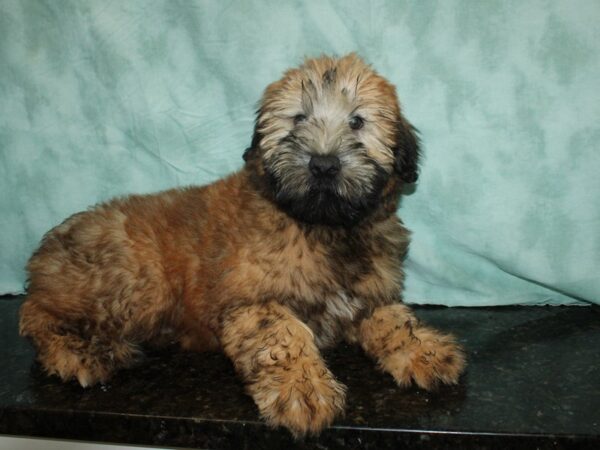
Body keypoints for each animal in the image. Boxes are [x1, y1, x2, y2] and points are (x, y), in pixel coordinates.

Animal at [19, 52, 464, 436]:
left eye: (357, 122)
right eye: (298, 118)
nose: (323, 164)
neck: (325, 226)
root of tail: (44, 256)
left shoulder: (366, 296)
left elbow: (393, 319)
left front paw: (425, 349)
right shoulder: (249, 302)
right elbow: (283, 335)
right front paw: (304, 391)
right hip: (133, 281)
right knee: (36, 316)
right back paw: (79, 354)